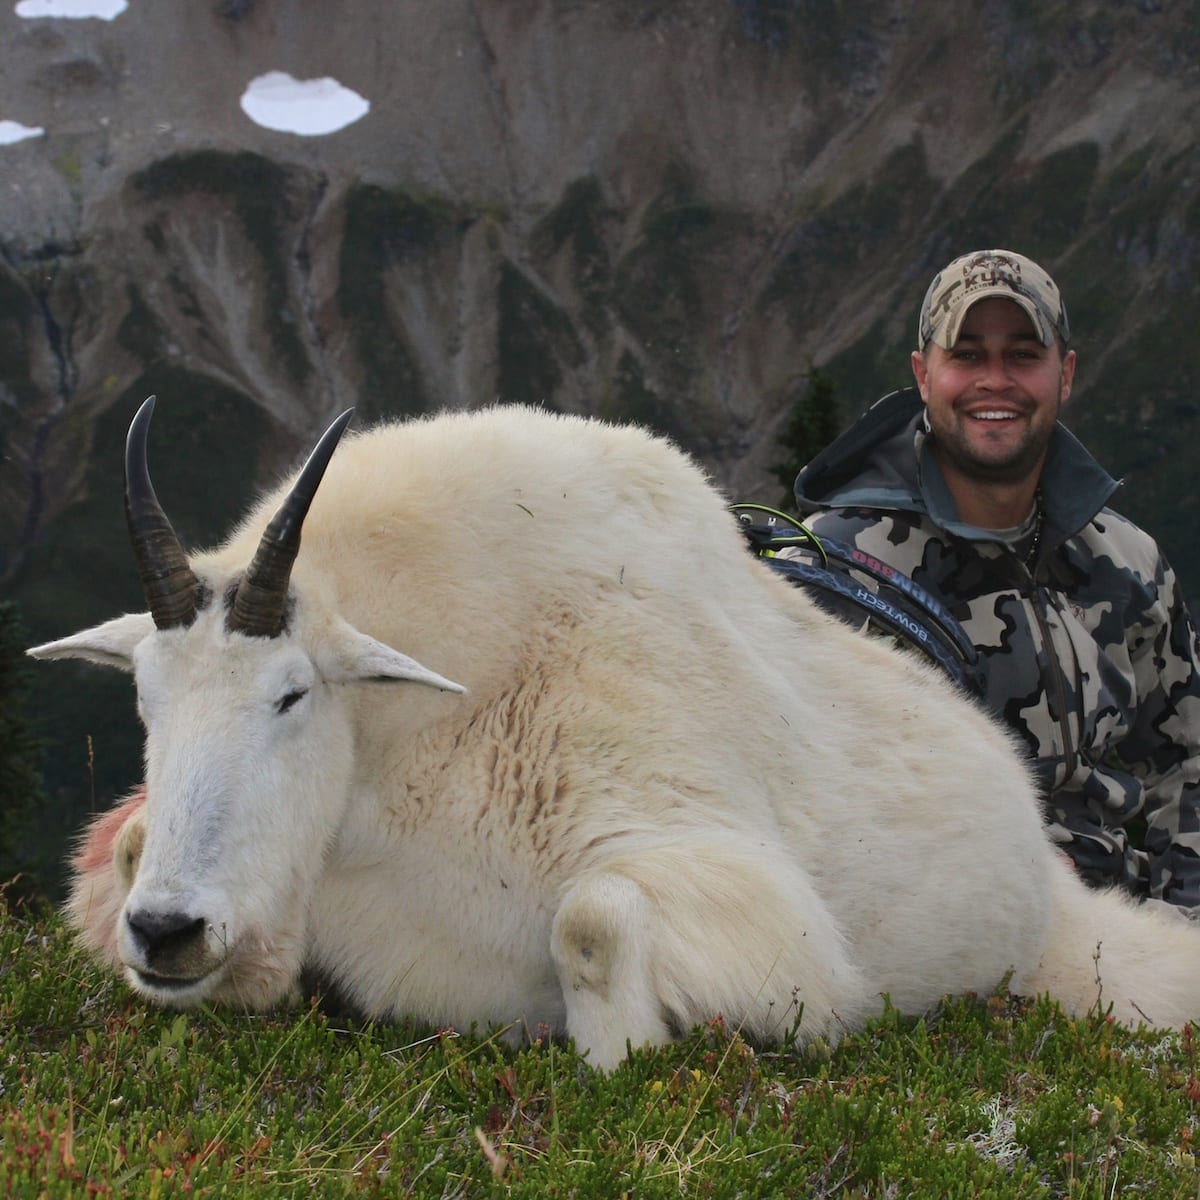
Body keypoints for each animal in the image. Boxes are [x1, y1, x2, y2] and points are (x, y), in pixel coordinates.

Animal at [30, 400, 1200, 1070]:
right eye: (146, 700)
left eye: (290, 696)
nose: (168, 933)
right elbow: (124, 846)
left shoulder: (718, 872)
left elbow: (591, 921)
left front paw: (623, 1051)